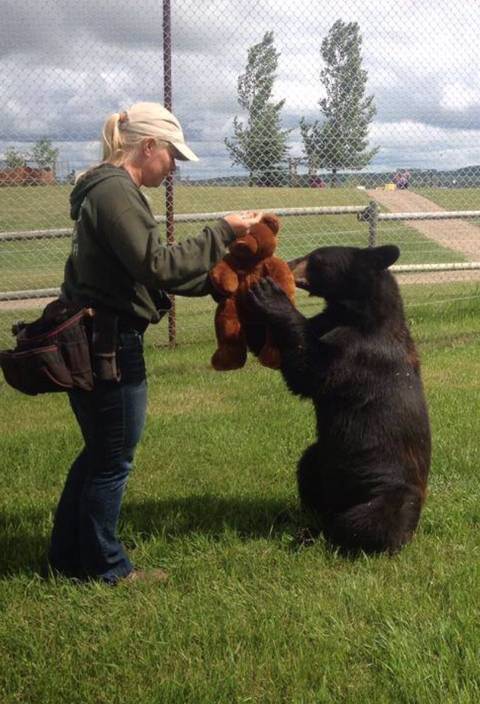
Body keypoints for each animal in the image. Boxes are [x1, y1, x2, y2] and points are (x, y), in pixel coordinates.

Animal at [248, 245, 432, 552]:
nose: (287, 264)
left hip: (391, 493)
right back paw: (307, 526)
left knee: (369, 521)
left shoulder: (361, 354)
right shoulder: (327, 322)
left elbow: (312, 370)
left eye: (317, 259)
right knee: (307, 472)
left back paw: (326, 537)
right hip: (320, 458)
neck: (355, 313)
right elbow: (272, 350)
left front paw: (271, 295)